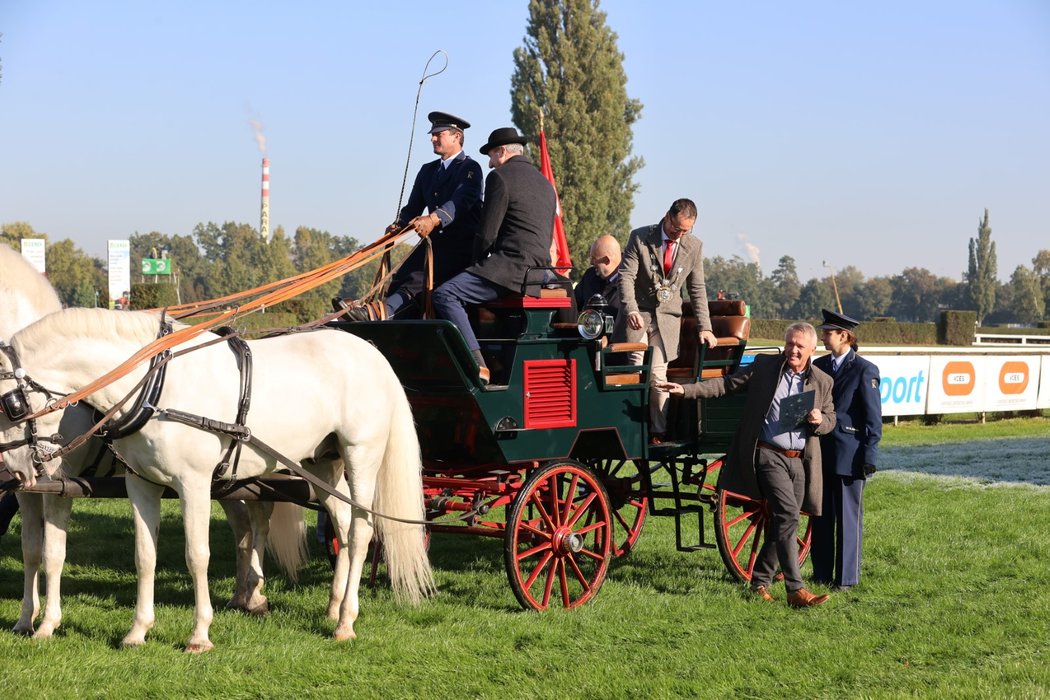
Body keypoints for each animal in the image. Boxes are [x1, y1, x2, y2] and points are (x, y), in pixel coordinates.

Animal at [1, 245, 304, 642]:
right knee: (245, 522)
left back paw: (254, 592)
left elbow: (53, 553)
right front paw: (26, 619)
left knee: (259, 518)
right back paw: (245, 594)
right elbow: (31, 551)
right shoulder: (29, 491)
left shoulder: (59, 484)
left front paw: (48, 623)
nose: (15, 468)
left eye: (12, 405)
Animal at [1, 308, 430, 650]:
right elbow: (144, 556)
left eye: (12, 405)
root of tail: (373, 353)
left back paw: (346, 621)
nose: (16, 472)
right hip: (322, 464)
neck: (154, 386)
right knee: (340, 525)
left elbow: (197, 555)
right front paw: (137, 631)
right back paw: (334, 605)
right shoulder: (140, 484)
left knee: (360, 532)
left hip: (362, 456)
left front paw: (199, 635)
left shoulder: (192, 484)